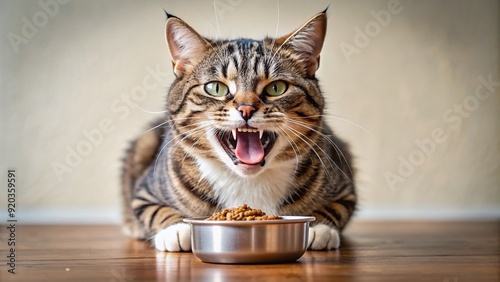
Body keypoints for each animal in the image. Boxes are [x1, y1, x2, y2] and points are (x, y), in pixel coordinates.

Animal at [121, 9, 356, 251]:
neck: (247, 180)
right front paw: (176, 229)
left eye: (276, 88)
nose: (246, 109)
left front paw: (318, 228)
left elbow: (334, 209)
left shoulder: (345, 190)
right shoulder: (144, 193)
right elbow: (156, 211)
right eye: (215, 88)